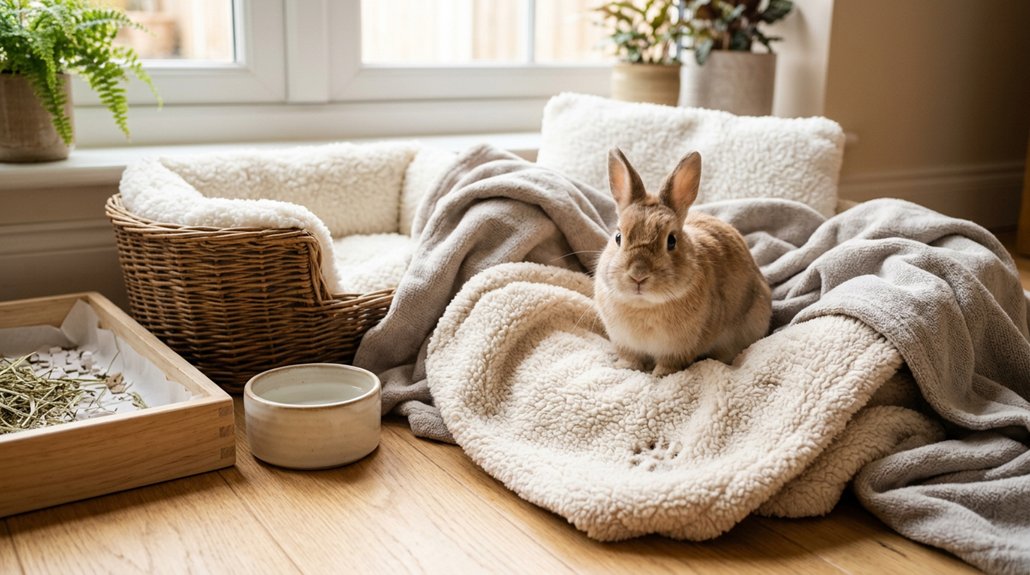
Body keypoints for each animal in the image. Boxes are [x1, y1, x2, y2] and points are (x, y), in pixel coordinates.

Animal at [594, 148, 772, 377]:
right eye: (618, 237)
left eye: (671, 241)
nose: (638, 275)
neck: (645, 305)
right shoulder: (626, 344)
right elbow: (631, 358)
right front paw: (624, 367)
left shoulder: (678, 350)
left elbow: (669, 364)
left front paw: (660, 374)